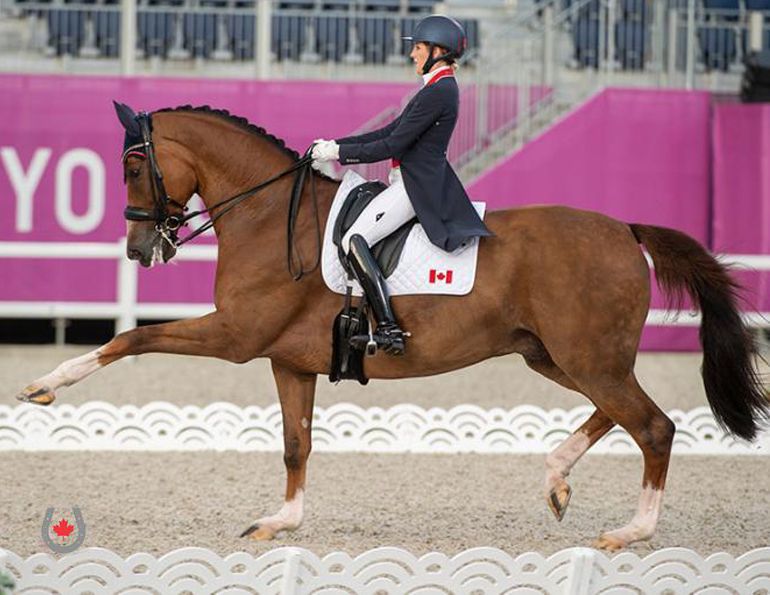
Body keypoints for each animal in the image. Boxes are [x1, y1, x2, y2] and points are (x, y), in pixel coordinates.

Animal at [16, 103, 768, 552]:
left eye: (133, 165)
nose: (140, 251)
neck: (267, 215)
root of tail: (625, 229)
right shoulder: (288, 360)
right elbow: (295, 444)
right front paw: (281, 520)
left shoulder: (235, 336)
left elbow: (131, 337)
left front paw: (44, 385)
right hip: (555, 355)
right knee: (618, 414)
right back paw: (557, 480)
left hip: (587, 356)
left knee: (653, 425)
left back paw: (632, 530)